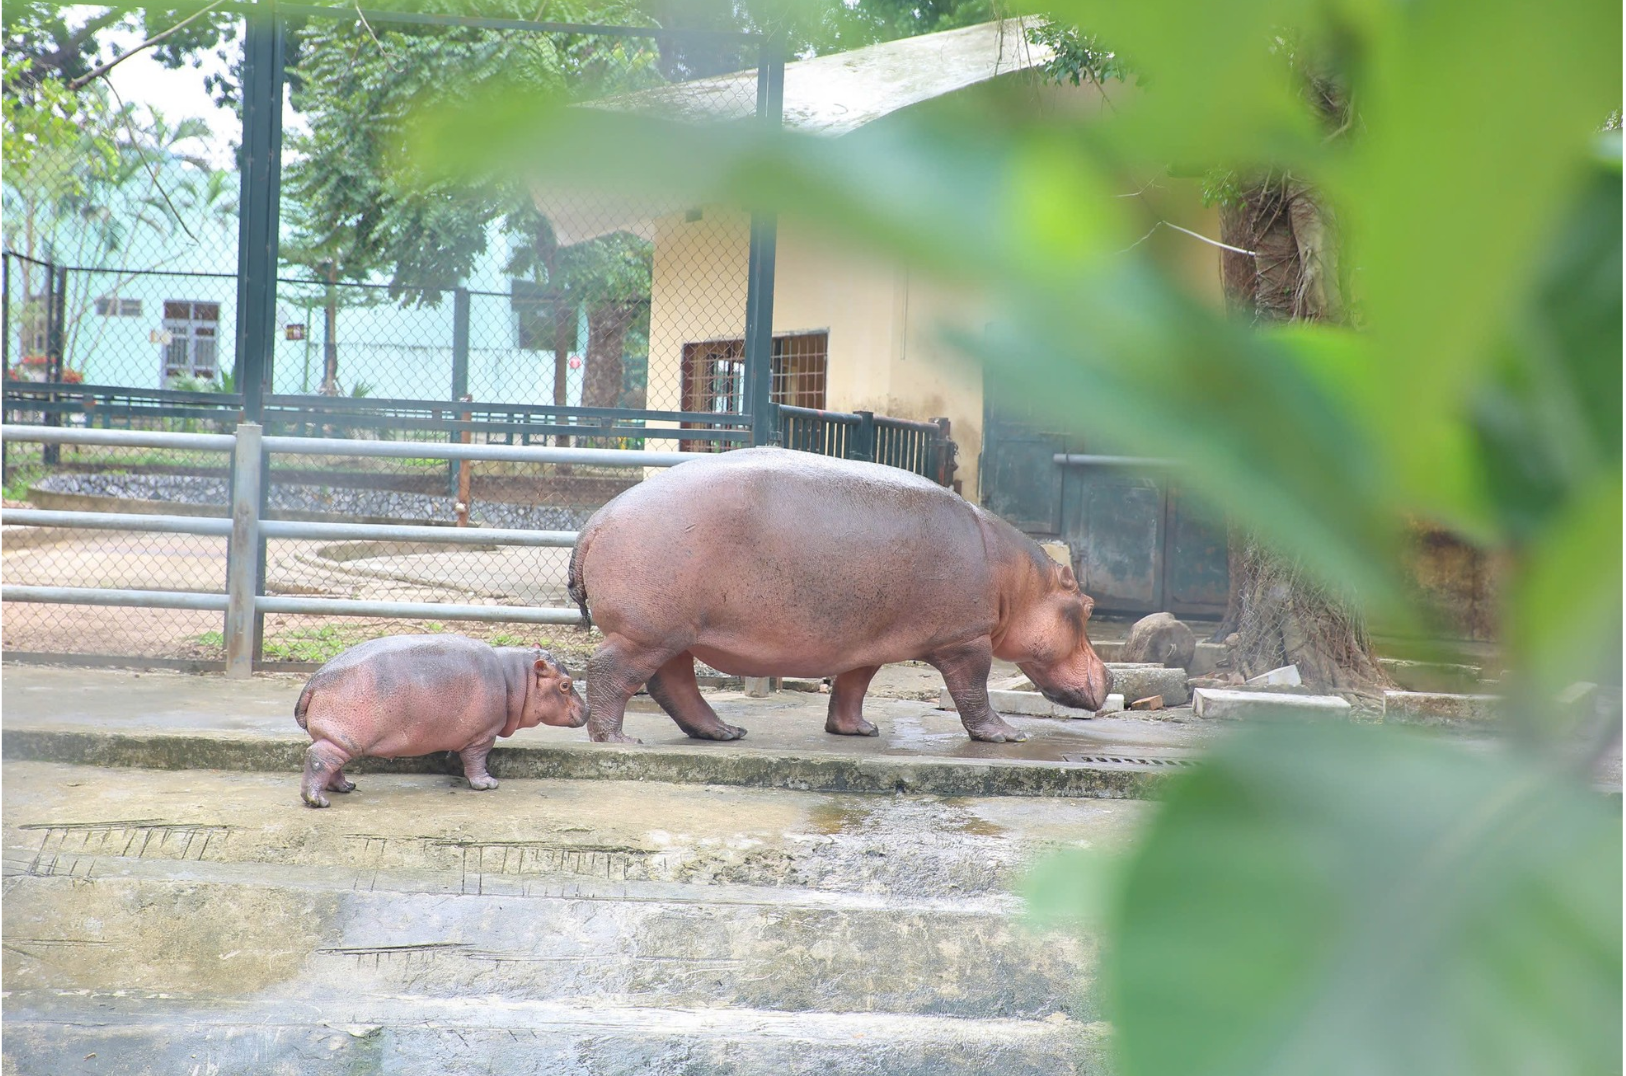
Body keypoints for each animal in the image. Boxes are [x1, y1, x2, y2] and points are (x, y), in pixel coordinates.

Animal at [292, 637, 585, 806]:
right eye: (565, 684)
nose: (588, 709)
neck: (515, 677)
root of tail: (313, 681)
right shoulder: (483, 735)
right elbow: (477, 759)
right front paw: (487, 784)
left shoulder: (465, 732)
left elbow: (459, 755)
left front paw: (455, 769)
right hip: (346, 737)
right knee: (318, 758)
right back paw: (317, 801)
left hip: (335, 736)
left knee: (331, 762)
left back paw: (346, 788)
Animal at [565, 445, 1112, 741]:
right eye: (1087, 607)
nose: (1109, 676)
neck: (1017, 582)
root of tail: (598, 518)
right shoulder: (966, 639)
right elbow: (974, 692)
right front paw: (1006, 735)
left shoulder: (867, 641)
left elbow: (853, 685)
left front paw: (859, 731)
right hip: (649, 631)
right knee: (609, 672)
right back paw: (619, 740)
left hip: (676, 633)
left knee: (673, 684)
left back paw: (725, 732)